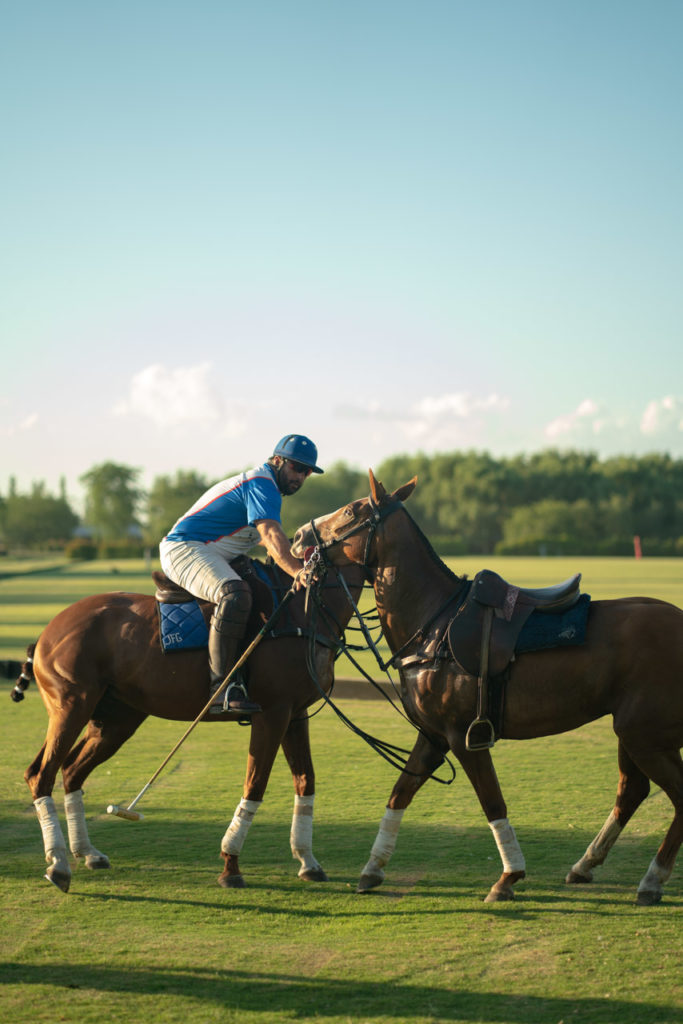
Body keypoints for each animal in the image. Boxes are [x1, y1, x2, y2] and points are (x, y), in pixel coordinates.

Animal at [14, 557, 362, 892]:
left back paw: (87, 853)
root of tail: (44, 635)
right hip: (71, 706)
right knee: (41, 774)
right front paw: (231, 867)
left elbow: (305, 780)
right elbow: (255, 784)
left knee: (71, 769)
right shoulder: (273, 712)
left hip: (113, 720)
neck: (305, 610)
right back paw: (58, 865)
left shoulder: (295, 713)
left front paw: (309, 863)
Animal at [290, 468, 683, 905]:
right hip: (633, 730)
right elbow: (400, 791)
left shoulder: (464, 736)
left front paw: (509, 876)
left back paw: (651, 880)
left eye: (351, 510)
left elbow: (492, 801)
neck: (433, 624)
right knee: (632, 790)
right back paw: (586, 865)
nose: (298, 536)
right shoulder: (433, 735)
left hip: (645, 733)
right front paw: (373, 868)